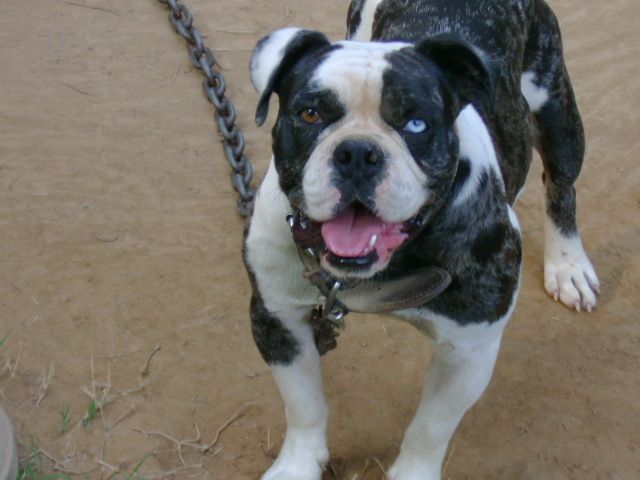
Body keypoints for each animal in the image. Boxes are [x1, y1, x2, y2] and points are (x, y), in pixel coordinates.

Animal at [243, 1, 600, 478]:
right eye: (310, 114)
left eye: (416, 123)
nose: (357, 151)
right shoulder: (278, 319)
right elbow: (303, 405)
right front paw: (298, 465)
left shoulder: (468, 350)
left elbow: (431, 427)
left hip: (557, 111)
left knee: (561, 185)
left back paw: (568, 265)